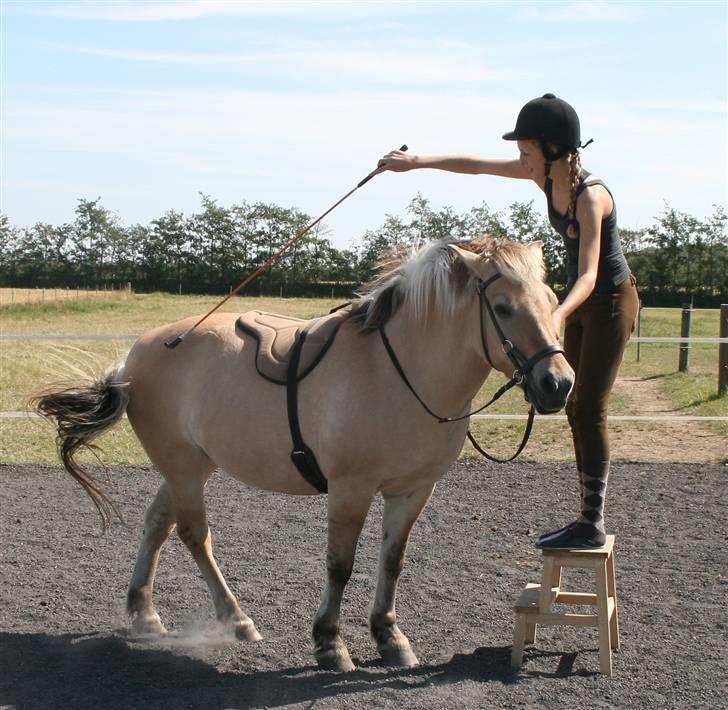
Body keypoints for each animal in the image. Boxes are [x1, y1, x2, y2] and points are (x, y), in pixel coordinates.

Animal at [32, 238, 576, 672]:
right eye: (502, 307)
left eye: (554, 302)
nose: (559, 384)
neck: (400, 371)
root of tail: (137, 354)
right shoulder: (350, 490)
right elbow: (340, 564)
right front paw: (330, 645)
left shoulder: (414, 491)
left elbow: (392, 561)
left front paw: (390, 638)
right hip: (184, 467)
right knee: (193, 536)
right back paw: (236, 619)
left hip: (192, 464)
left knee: (157, 525)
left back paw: (145, 614)